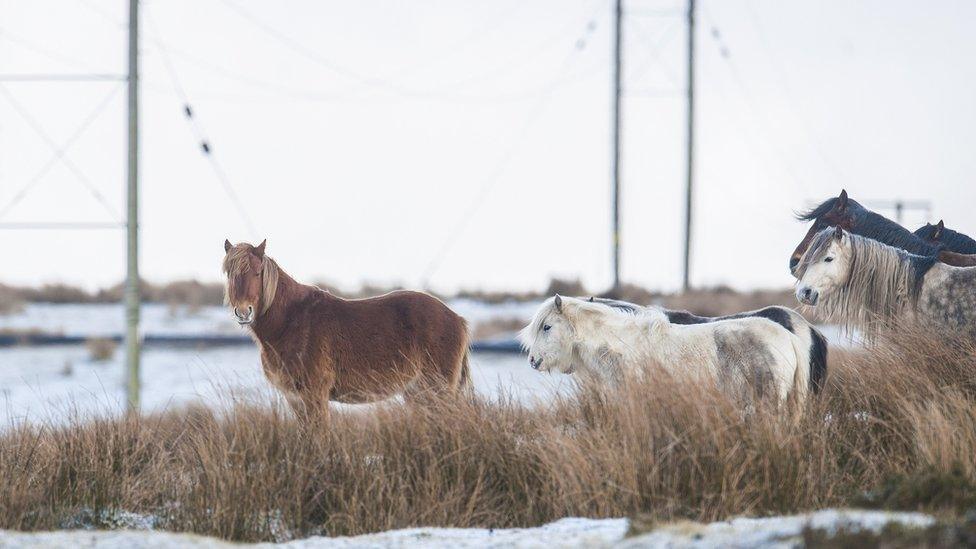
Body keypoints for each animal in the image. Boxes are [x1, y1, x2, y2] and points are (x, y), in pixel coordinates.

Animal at [222, 238, 472, 418]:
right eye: (230, 274)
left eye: (257, 273)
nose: (244, 312)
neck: (291, 320)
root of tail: (457, 318)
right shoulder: (294, 398)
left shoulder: (314, 395)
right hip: (418, 393)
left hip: (436, 392)